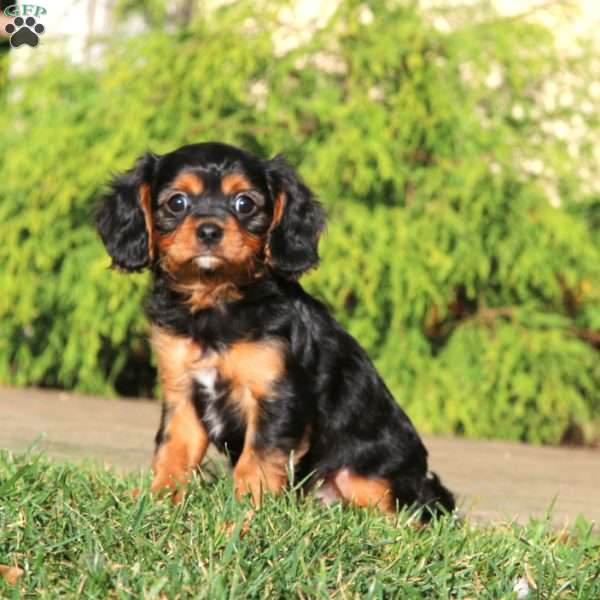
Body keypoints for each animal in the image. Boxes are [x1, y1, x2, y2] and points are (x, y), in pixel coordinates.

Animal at [95, 143, 454, 516]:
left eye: (245, 203)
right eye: (177, 202)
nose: (209, 231)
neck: (215, 300)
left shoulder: (276, 396)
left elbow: (257, 461)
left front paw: (245, 514)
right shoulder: (183, 392)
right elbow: (173, 451)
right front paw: (158, 501)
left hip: (365, 477)